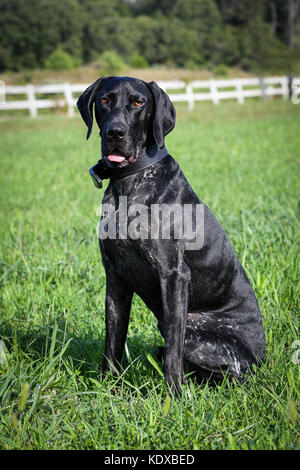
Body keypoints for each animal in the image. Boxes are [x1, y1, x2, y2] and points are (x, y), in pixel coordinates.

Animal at [77, 76, 264, 392]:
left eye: (138, 102)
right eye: (104, 100)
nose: (115, 132)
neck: (129, 182)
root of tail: (262, 359)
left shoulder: (174, 275)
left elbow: (174, 351)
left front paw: (174, 395)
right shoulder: (115, 276)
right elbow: (112, 340)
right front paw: (108, 386)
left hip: (197, 335)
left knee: (228, 372)